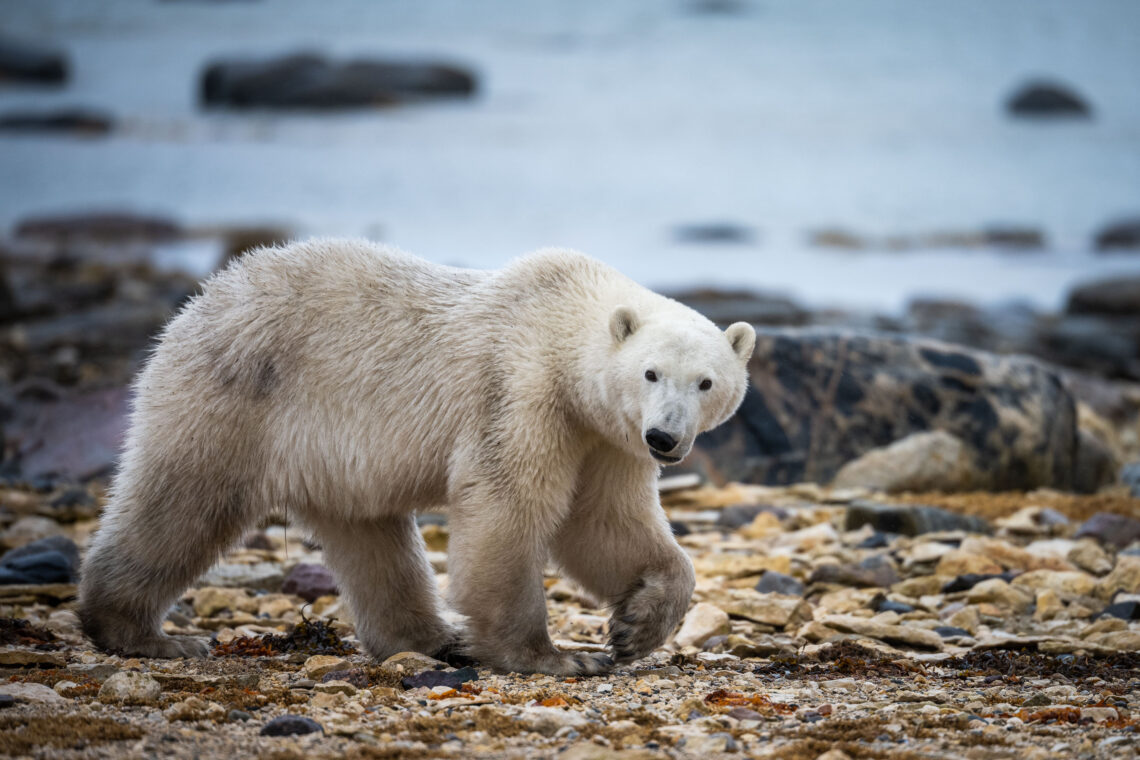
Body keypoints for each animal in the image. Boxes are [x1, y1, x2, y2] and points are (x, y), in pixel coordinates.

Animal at [80, 240, 756, 674]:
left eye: (706, 383)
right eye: (650, 373)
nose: (664, 439)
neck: (562, 325)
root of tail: (200, 301)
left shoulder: (604, 437)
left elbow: (605, 523)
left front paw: (636, 626)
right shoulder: (520, 391)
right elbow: (508, 507)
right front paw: (554, 657)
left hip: (330, 456)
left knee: (372, 540)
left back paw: (432, 641)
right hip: (237, 397)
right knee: (183, 501)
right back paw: (143, 635)